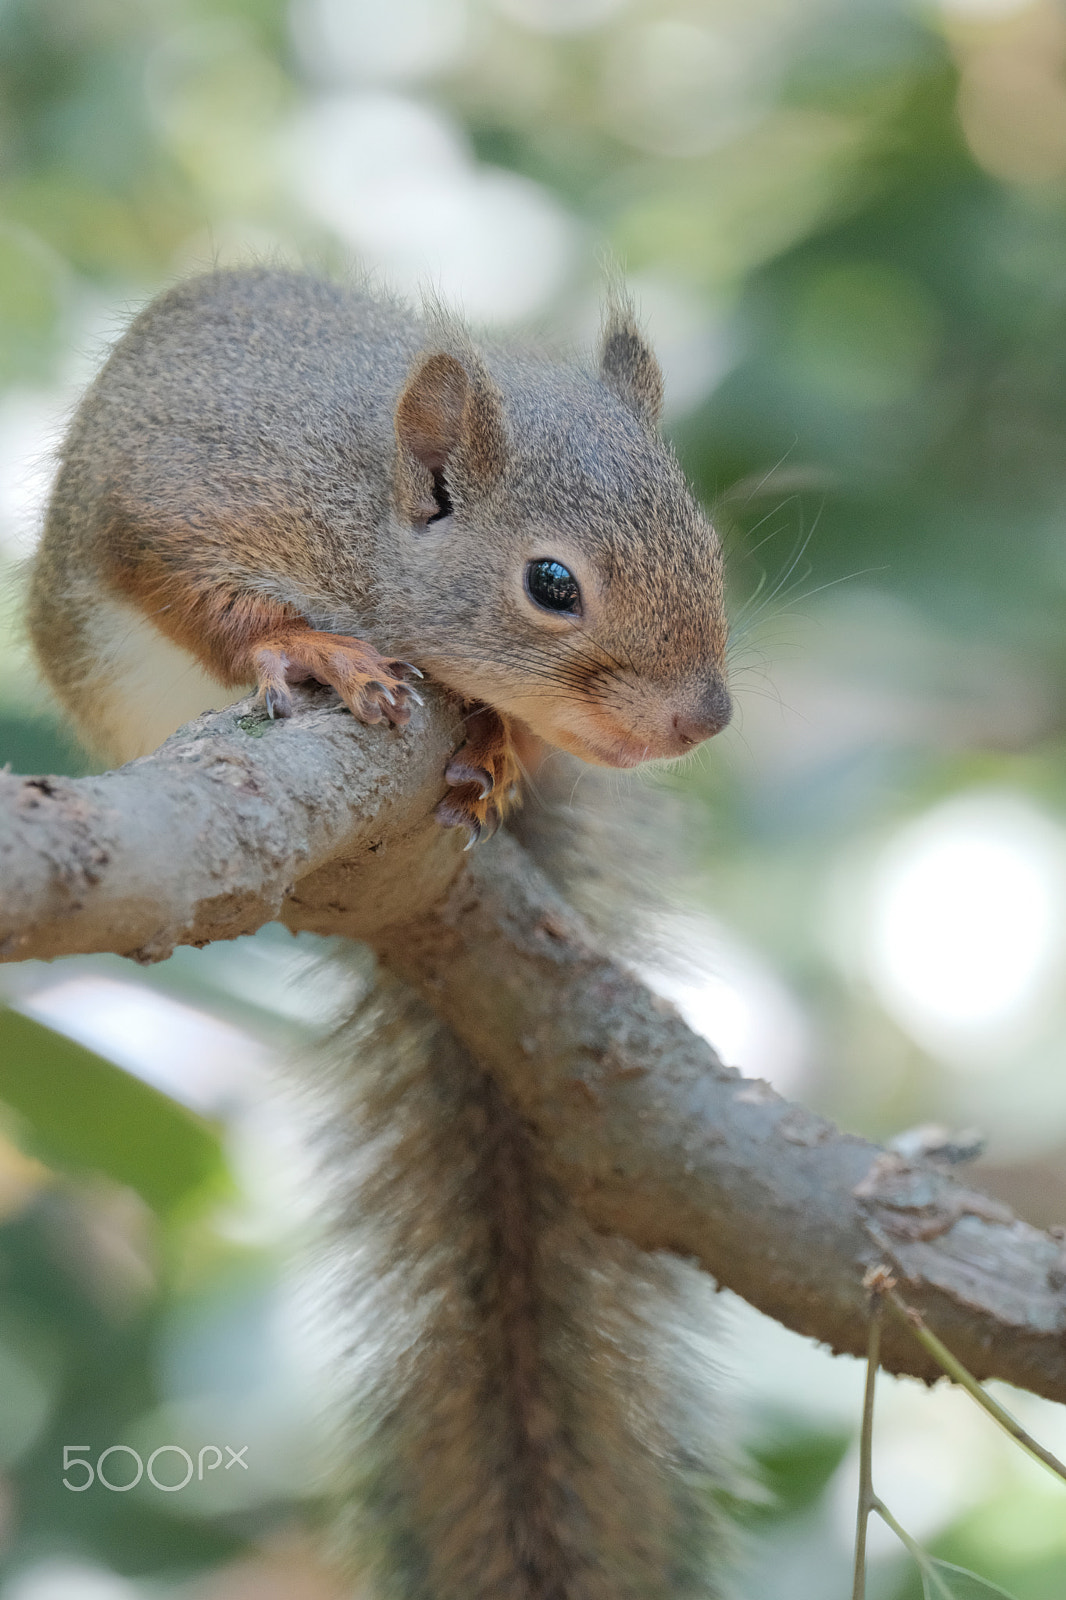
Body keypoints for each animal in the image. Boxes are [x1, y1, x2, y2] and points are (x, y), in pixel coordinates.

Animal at [26, 267, 735, 1597]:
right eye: (551, 584)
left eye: (707, 543)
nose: (702, 717)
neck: (359, 512)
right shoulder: (186, 502)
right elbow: (200, 598)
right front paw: (307, 647)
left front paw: (498, 744)